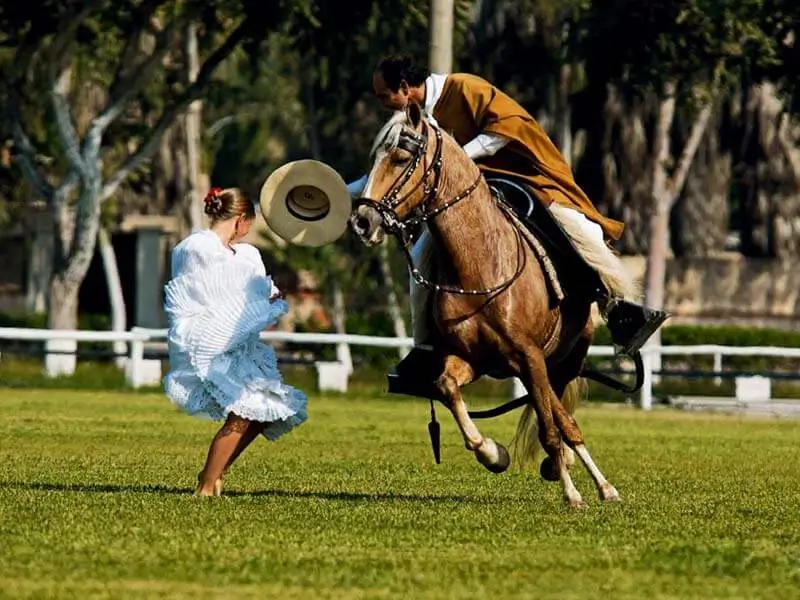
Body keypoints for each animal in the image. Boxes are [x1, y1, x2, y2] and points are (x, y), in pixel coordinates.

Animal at [348, 102, 630, 509]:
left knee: (562, 418)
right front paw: (493, 454)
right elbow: (448, 388)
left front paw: (572, 492)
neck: (480, 267)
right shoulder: (476, 359)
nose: (361, 221)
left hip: (565, 358)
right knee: (557, 413)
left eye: (401, 157)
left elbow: (550, 428)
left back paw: (596, 482)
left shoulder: (529, 356)